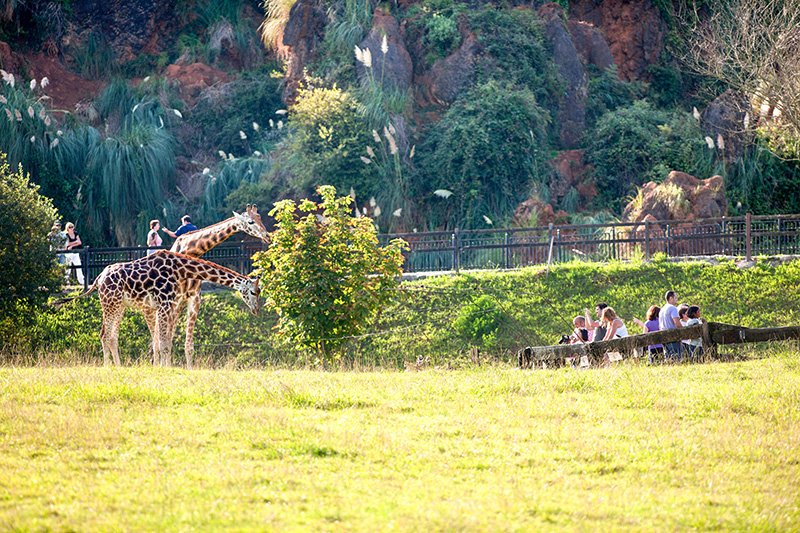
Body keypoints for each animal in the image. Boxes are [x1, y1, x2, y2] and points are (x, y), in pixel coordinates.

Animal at [57, 249, 262, 366]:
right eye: (254, 292)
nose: (256, 310)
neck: (180, 269)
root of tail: (99, 278)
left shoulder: (169, 304)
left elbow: (165, 343)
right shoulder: (164, 303)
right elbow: (163, 344)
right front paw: (166, 371)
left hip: (118, 305)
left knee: (111, 336)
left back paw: (119, 368)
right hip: (110, 302)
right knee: (105, 335)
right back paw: (108, 368)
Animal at [166, 204, 272, 366]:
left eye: (260, 218)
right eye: (250, 222)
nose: (268, 236)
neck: (190, 250)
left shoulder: (194, 298)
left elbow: (189, 346)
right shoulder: (176, 298)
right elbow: (168, 338)